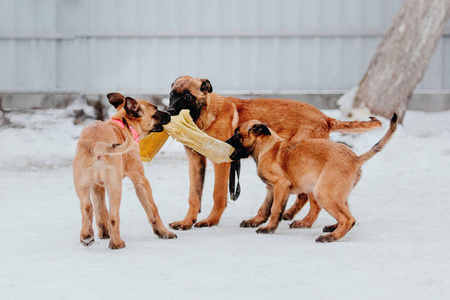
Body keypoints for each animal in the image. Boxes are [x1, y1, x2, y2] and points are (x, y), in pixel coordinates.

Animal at [73, 93, 177, 248]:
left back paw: (87, 236)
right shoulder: (140, 180)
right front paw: (163, 232)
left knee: (87, 208)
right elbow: (152, 209)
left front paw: (104, 233)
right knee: (114, 215)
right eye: (156, 111)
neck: (123, 125)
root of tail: (97, 145)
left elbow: (100, 210)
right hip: (115, 187)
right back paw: (116, 243)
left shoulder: (97, 187)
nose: (170, 113)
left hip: (83, 186)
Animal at [167, 75, 382, 230]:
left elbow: (217, 194)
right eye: (171, 95)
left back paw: (298, 220)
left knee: (308, 196)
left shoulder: (223, 162)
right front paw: (187, 221)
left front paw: (210, 220)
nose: (169, 112)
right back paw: (283, 216)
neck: (205, 115)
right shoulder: (195, 161)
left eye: (188, 96)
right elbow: (194, 195)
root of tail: (324, 117)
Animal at [225, 113, 398, 243]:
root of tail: (355, 158)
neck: (267, 147)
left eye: (237, 134)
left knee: (347, 218)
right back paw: (327, 227)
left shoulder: (281, 185)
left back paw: (330, 237)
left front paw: (269, 228)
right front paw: (254, 221)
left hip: (323, 192)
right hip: (333, 192)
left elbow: (274, 209)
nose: (225, 142)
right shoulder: (271, 188)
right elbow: (264, 208)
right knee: (343, 212)